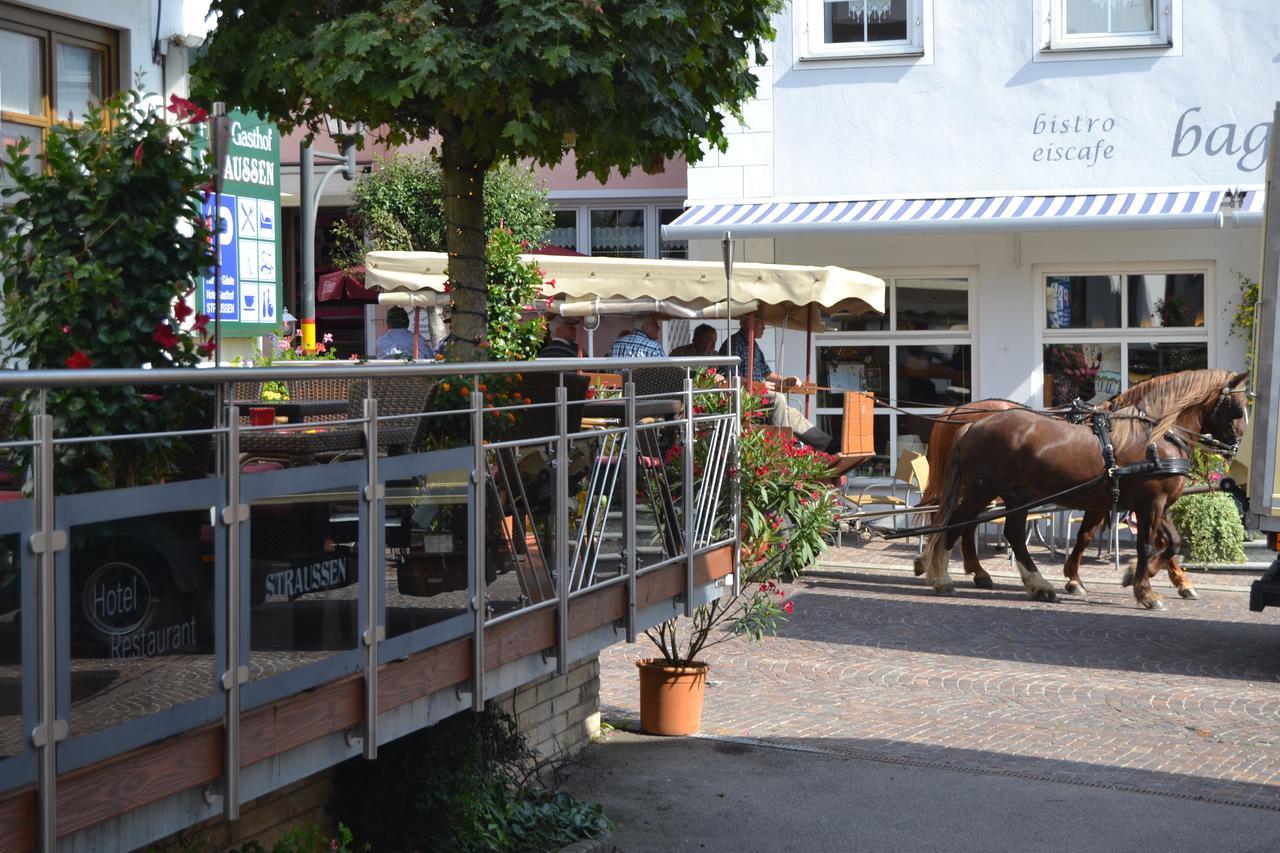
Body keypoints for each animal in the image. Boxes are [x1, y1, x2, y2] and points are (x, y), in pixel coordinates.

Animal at [921, 368, 1249, 607]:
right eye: (1236, 408)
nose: (1234, 449)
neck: (1157, 435)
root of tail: (973, 423)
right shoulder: (1149, 504)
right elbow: (1145, 545)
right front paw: (1144, 591)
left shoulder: (1154, 504)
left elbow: (1172, 543)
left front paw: (1134, 576)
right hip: (982, 490)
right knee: (956, 524)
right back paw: (942, 577)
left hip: (1017, 494)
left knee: (1010, 533)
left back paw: (1038, 584)